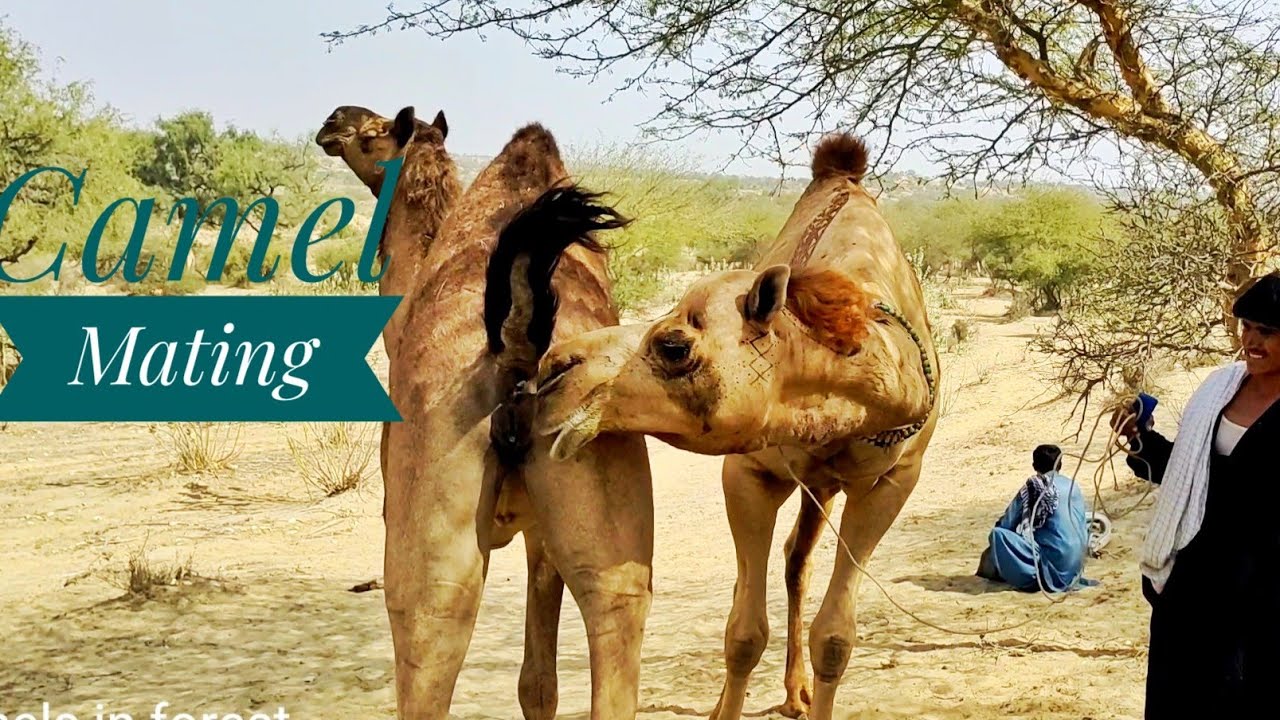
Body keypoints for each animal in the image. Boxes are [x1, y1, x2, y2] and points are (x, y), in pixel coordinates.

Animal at [317, 108, 655, 719]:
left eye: (372, 133)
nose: (331, 123)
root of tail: (516, 349)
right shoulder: (542, 537)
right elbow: (538, 685)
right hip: (604, 507)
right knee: (615, 606)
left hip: (430, 531)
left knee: (430, 622)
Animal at [530, 133, 939, 720]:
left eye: (673, 345)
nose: (552, 371)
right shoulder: (748, 473)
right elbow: (743, 634)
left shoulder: (892, 481)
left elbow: (835, 638)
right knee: (775, 572)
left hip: (825, 485)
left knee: (796, 562)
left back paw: (796, 692)